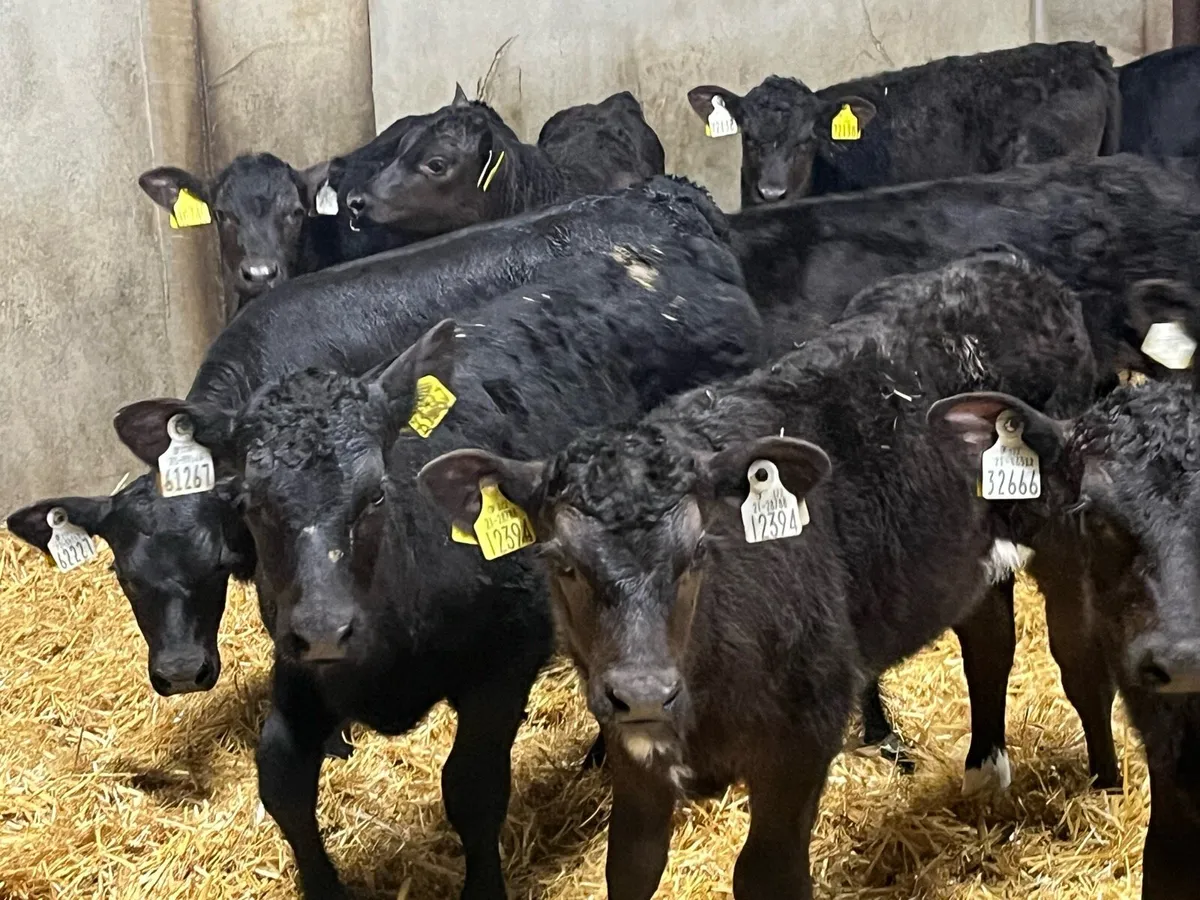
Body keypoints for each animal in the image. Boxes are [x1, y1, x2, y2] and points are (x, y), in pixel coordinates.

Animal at [112, 213, 765, 898]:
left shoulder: (503, 662)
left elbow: (472, 788)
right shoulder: (298, 660)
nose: (326, 629)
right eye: (250, 501)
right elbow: (282, 778)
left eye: (375, 492)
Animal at [417, 250, 1097, 900]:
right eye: (562, 562)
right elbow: (631, 866)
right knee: (989, 641)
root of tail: (1009, 268)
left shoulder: (802, 739)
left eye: (698, 553)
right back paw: (984, 771)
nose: (643, 692)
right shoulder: (634, 753)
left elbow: (769, 875)